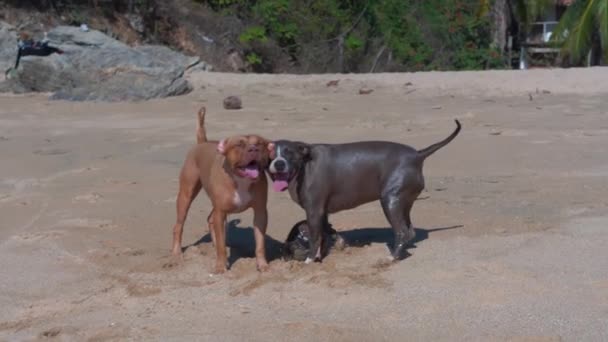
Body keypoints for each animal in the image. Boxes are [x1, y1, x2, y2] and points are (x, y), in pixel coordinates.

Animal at [172, 107, 274, 272]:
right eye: (239, 145)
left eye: (260, 144)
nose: (253, 149)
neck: (241, 180)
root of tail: (202, 142)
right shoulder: (220, 213)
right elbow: (221, 243)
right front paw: (220, 266)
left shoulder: (260, 212)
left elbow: (260, 243)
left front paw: (262, 264)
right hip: (186, 195)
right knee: (179, 225)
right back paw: (176, 252)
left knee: (210, 219)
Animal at [268, 121, 458, 264]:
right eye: (270, 155)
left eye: (289, 153)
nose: (279, 163)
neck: (304, 166)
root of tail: (418, 155)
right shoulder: (322, 212)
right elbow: (325, 233)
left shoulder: (313, 211)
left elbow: (315, 237)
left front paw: (309, 260)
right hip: (403, 203)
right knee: (409, 231)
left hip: (390, 201)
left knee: (402, 232)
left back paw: (391, 258)